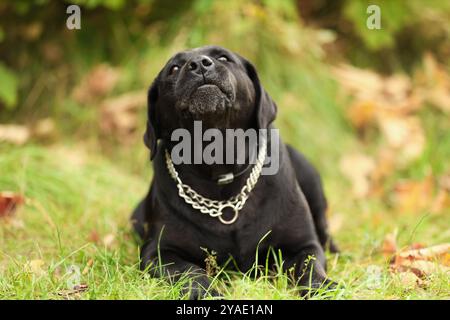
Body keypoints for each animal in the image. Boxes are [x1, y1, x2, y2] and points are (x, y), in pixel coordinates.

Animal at [130, 45, 338, 300]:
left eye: (223, 57)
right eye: (174, 68)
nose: (199, 64)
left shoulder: (304, 244)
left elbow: (309, 267)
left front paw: (324, 287)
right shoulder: (158, 252)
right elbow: (190, 272)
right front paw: (207, 292)